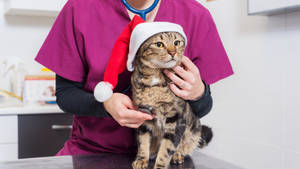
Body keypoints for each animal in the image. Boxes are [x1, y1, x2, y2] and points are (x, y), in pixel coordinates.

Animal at [132, 31, 213, 169]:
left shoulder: (175, 118)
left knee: (184, 146)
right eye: (159, 44)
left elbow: (166, 148)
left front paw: (160, 166)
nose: (172, 52)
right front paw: (141, 159)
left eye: (177, 42)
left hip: (194, 130)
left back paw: (177, 155)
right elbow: (143, 142)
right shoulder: (143, 114)